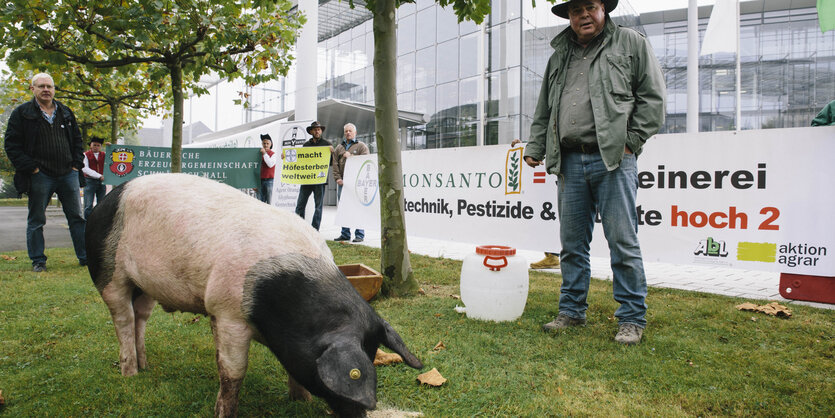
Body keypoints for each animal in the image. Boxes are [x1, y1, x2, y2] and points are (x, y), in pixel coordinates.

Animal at [85, 171, 424, 416]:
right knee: (123, 318)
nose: (360, 413)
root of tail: (103, 202)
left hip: (145, 286)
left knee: (140, 317)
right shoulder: (227, 312)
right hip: (108, 273)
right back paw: (130, 374)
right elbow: (232, 372)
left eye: (373, 353)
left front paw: (301, 401)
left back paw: (145, 367)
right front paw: (224, 413)